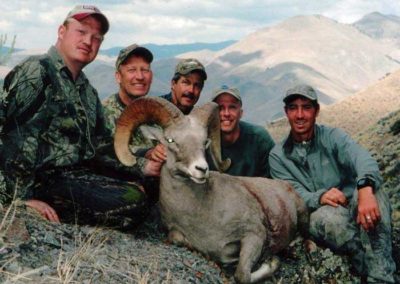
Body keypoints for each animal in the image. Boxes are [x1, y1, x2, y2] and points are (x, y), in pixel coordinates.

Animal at [114, 97, 308, 282]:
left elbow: (241, 275)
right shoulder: (177, 234)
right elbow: (178, 239)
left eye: (204, 141)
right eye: (170, 140)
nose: (201, 169)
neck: (202, 211)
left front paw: (271, 261)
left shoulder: (254, 234)